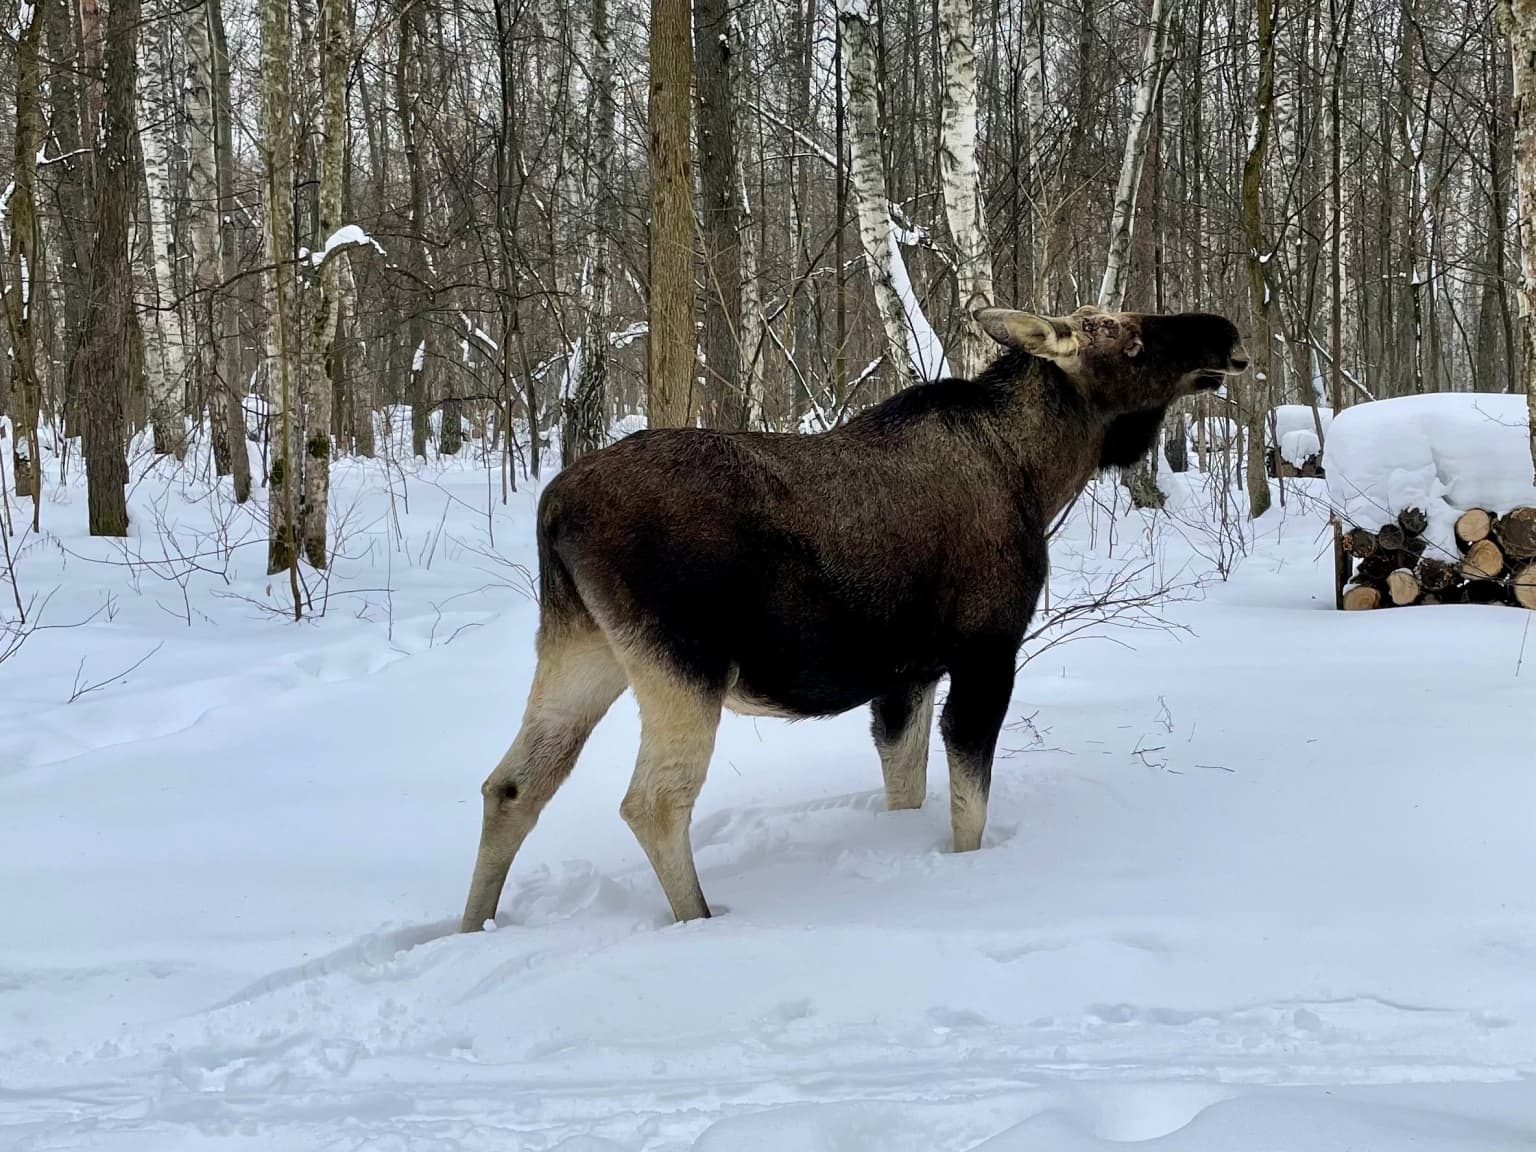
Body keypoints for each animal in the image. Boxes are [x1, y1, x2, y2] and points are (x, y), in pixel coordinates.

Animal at [460, 304, 1248, 930]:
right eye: (1124, 335)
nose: (1225, 333)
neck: (1042, 471)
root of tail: (554, 507)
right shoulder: (986, 650)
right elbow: (968, 808)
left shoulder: (906, 676)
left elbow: (905, 785)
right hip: (682, 666)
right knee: (652, 801)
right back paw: (700, 920)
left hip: (581, 647)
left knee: (512, 784)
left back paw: (473, 928)